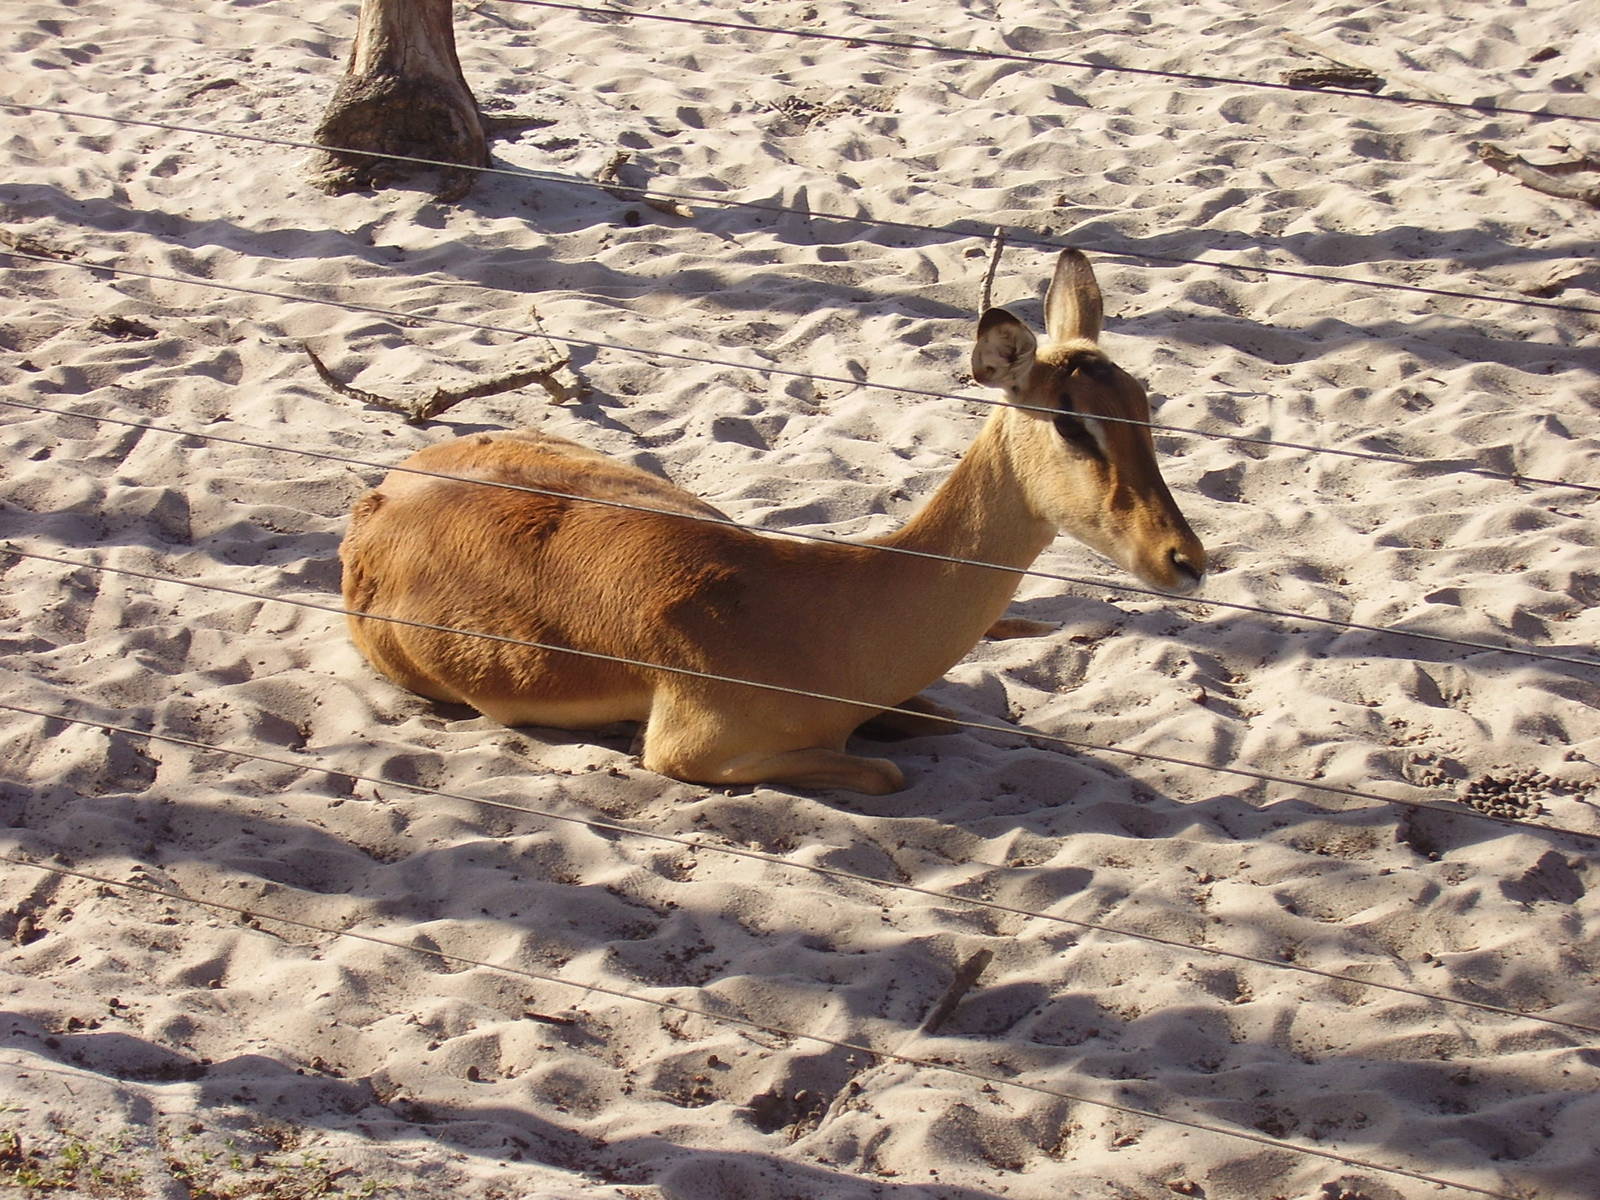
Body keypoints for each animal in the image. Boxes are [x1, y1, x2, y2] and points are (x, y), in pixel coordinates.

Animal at [340, 249, 1205, 795]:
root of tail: (384, 494)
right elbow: (884, 770)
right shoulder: (690, 752)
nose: (1185, 558)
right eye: (1072, 422)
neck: (815, 615)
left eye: (1142, 403)